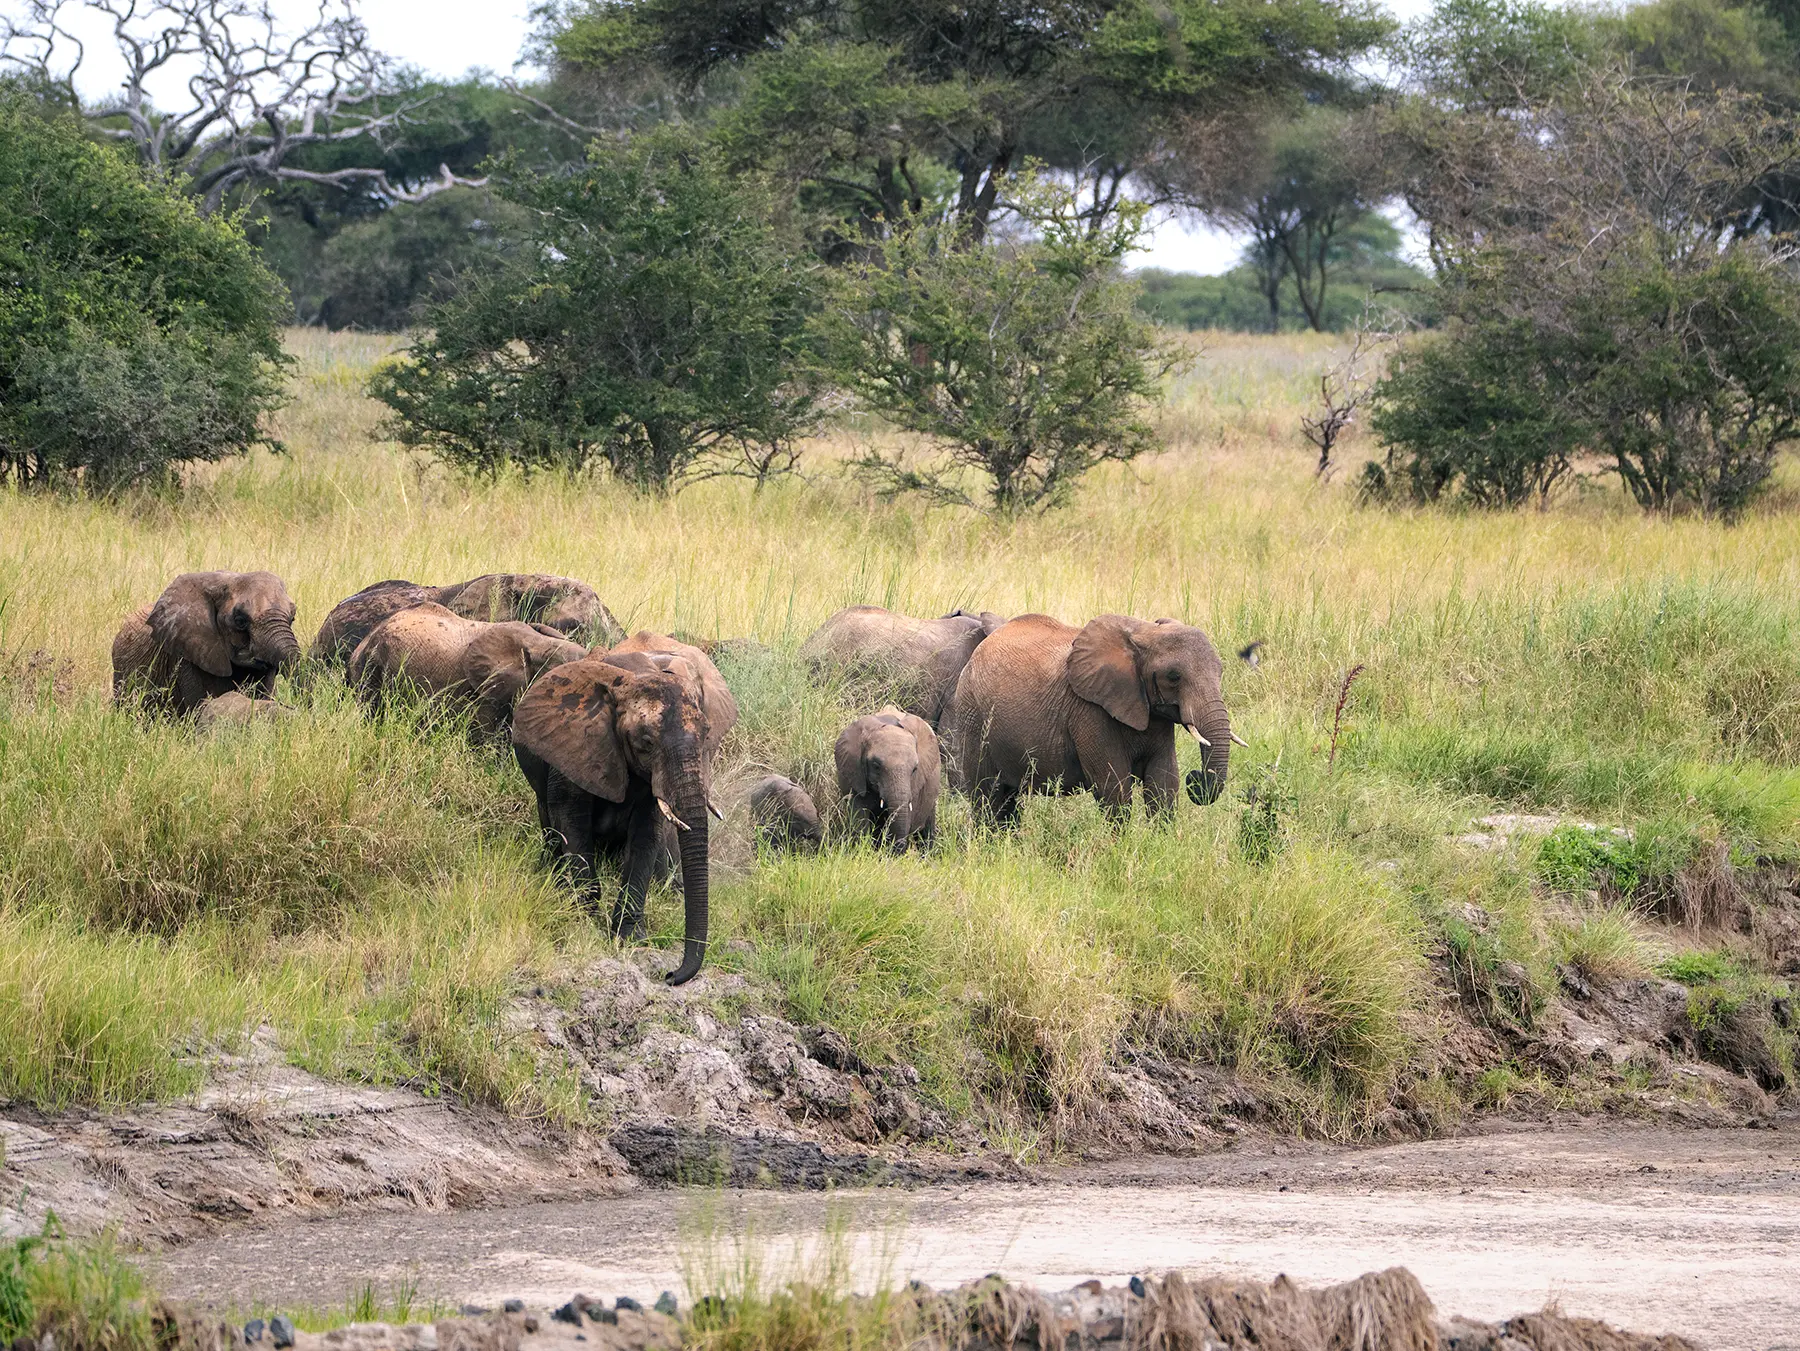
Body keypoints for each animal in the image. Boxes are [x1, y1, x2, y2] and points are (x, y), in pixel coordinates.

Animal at [511, 631, 738, 985]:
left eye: (706, 735)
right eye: (645, 742)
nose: (670, 975)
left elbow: (646, 834)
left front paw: (631, 939)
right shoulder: (574, 747)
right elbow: (572, 824)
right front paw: (584, 923)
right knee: (551, 828)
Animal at [947, 613, 1241, 825]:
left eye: (1221, 672)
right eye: (1173, 677)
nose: (1197, 778)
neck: (1143, 632)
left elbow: (1163, 783)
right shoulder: (1089, 712)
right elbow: (1114, 787)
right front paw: (1119, 851)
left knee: (1007, 800)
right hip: (972, 716)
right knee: (987, 796)